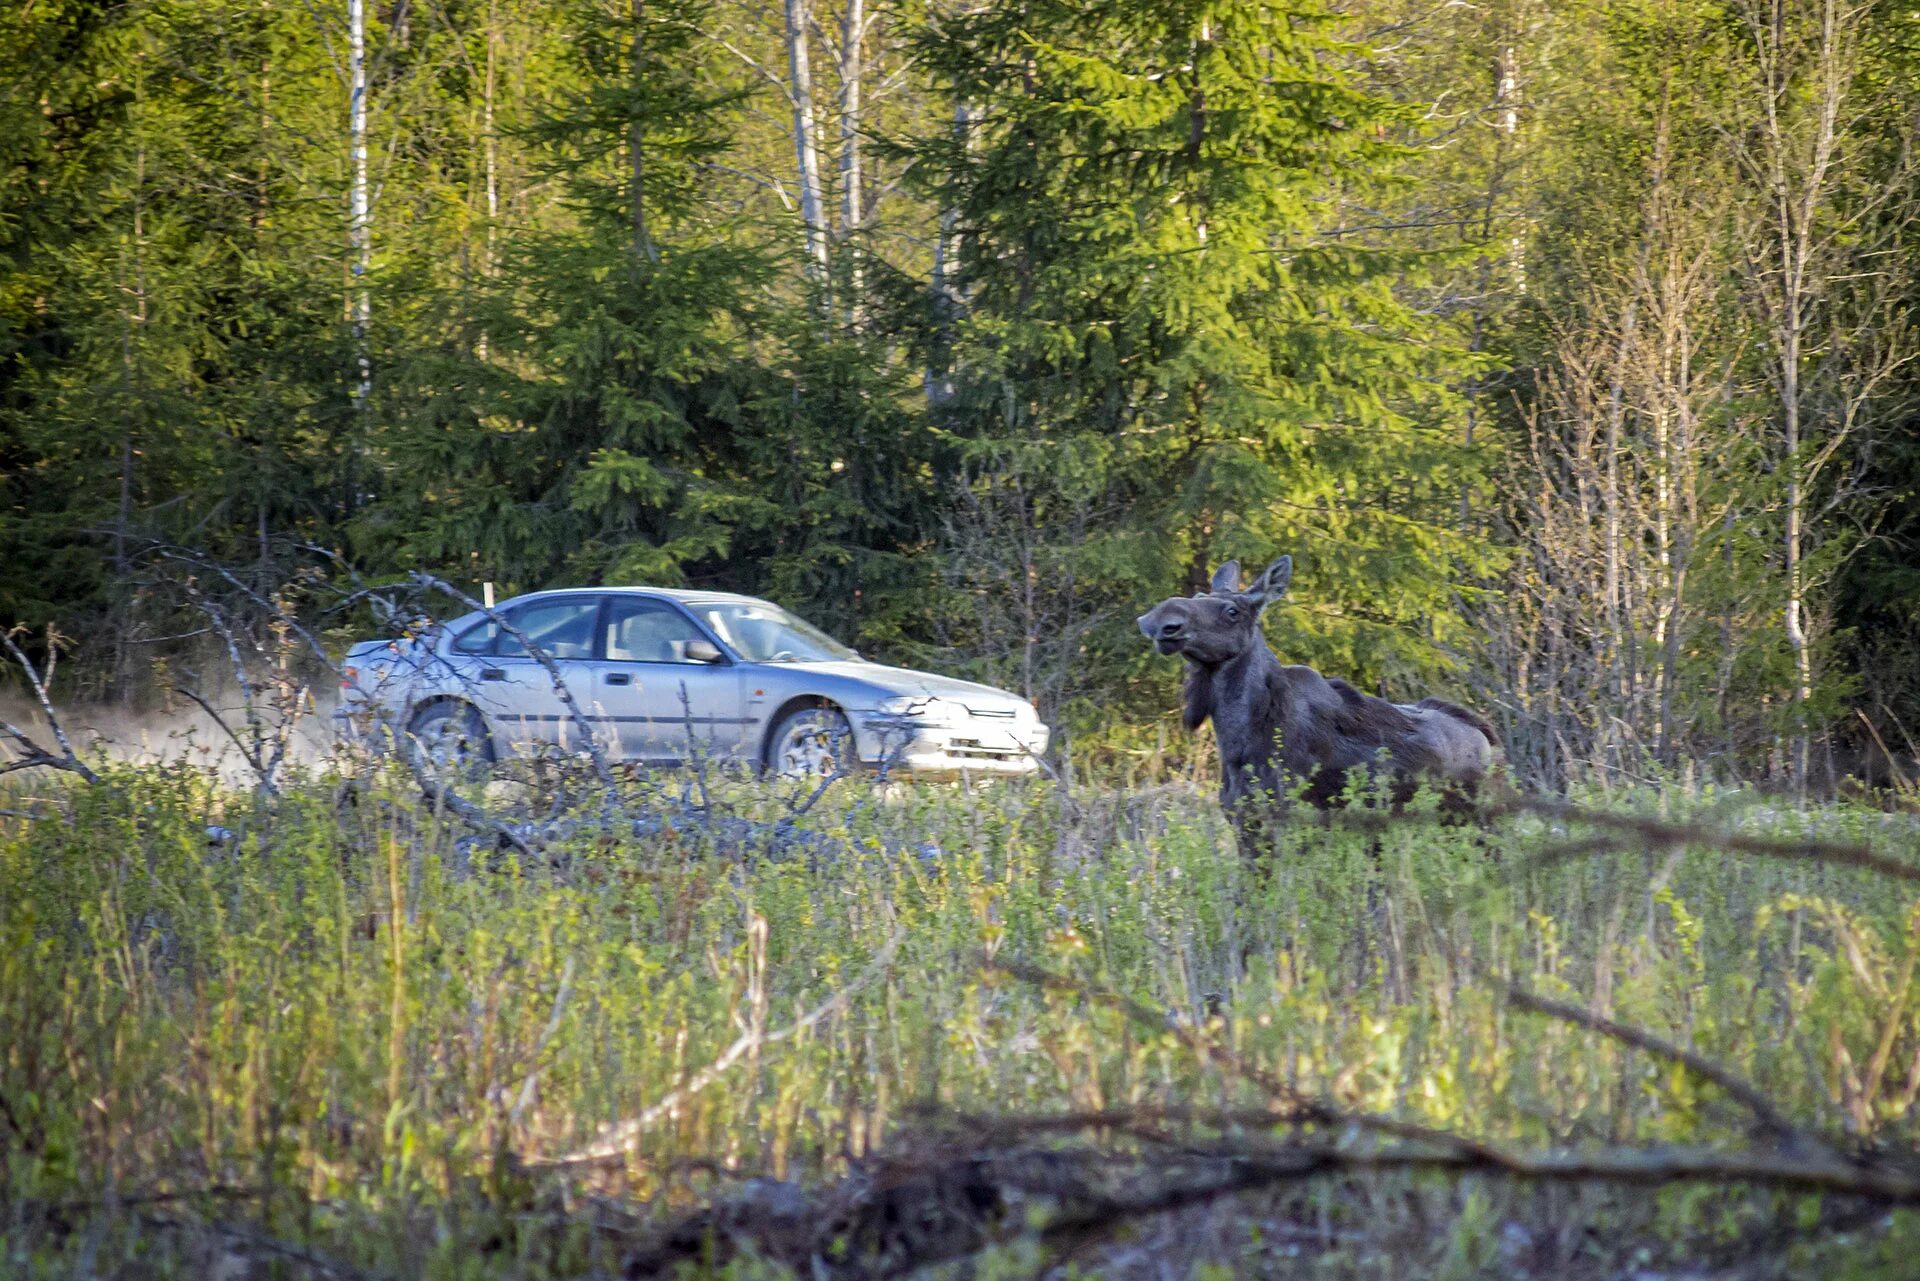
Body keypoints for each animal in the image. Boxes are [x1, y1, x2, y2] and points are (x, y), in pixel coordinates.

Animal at [1136, 556, 1497, 841]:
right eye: (1198, 596)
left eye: (1232, 611)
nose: (1160, 621)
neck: (1237, 743)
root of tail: (1485, 736)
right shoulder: (1245, 825)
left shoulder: (1297, 824)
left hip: (1474, 822)